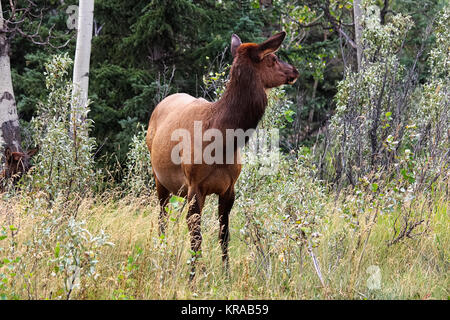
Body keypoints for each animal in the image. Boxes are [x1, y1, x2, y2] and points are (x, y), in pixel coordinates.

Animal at [146, 31, 298, 278]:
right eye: (273, 58)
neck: (222, 142)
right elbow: (196, 236)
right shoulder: (195, 186)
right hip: (159, 179)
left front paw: (226, 274)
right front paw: (193, 276)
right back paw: (162, 253)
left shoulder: (229, 188)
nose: (295, 70)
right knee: (162, 218)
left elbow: (224, 234)